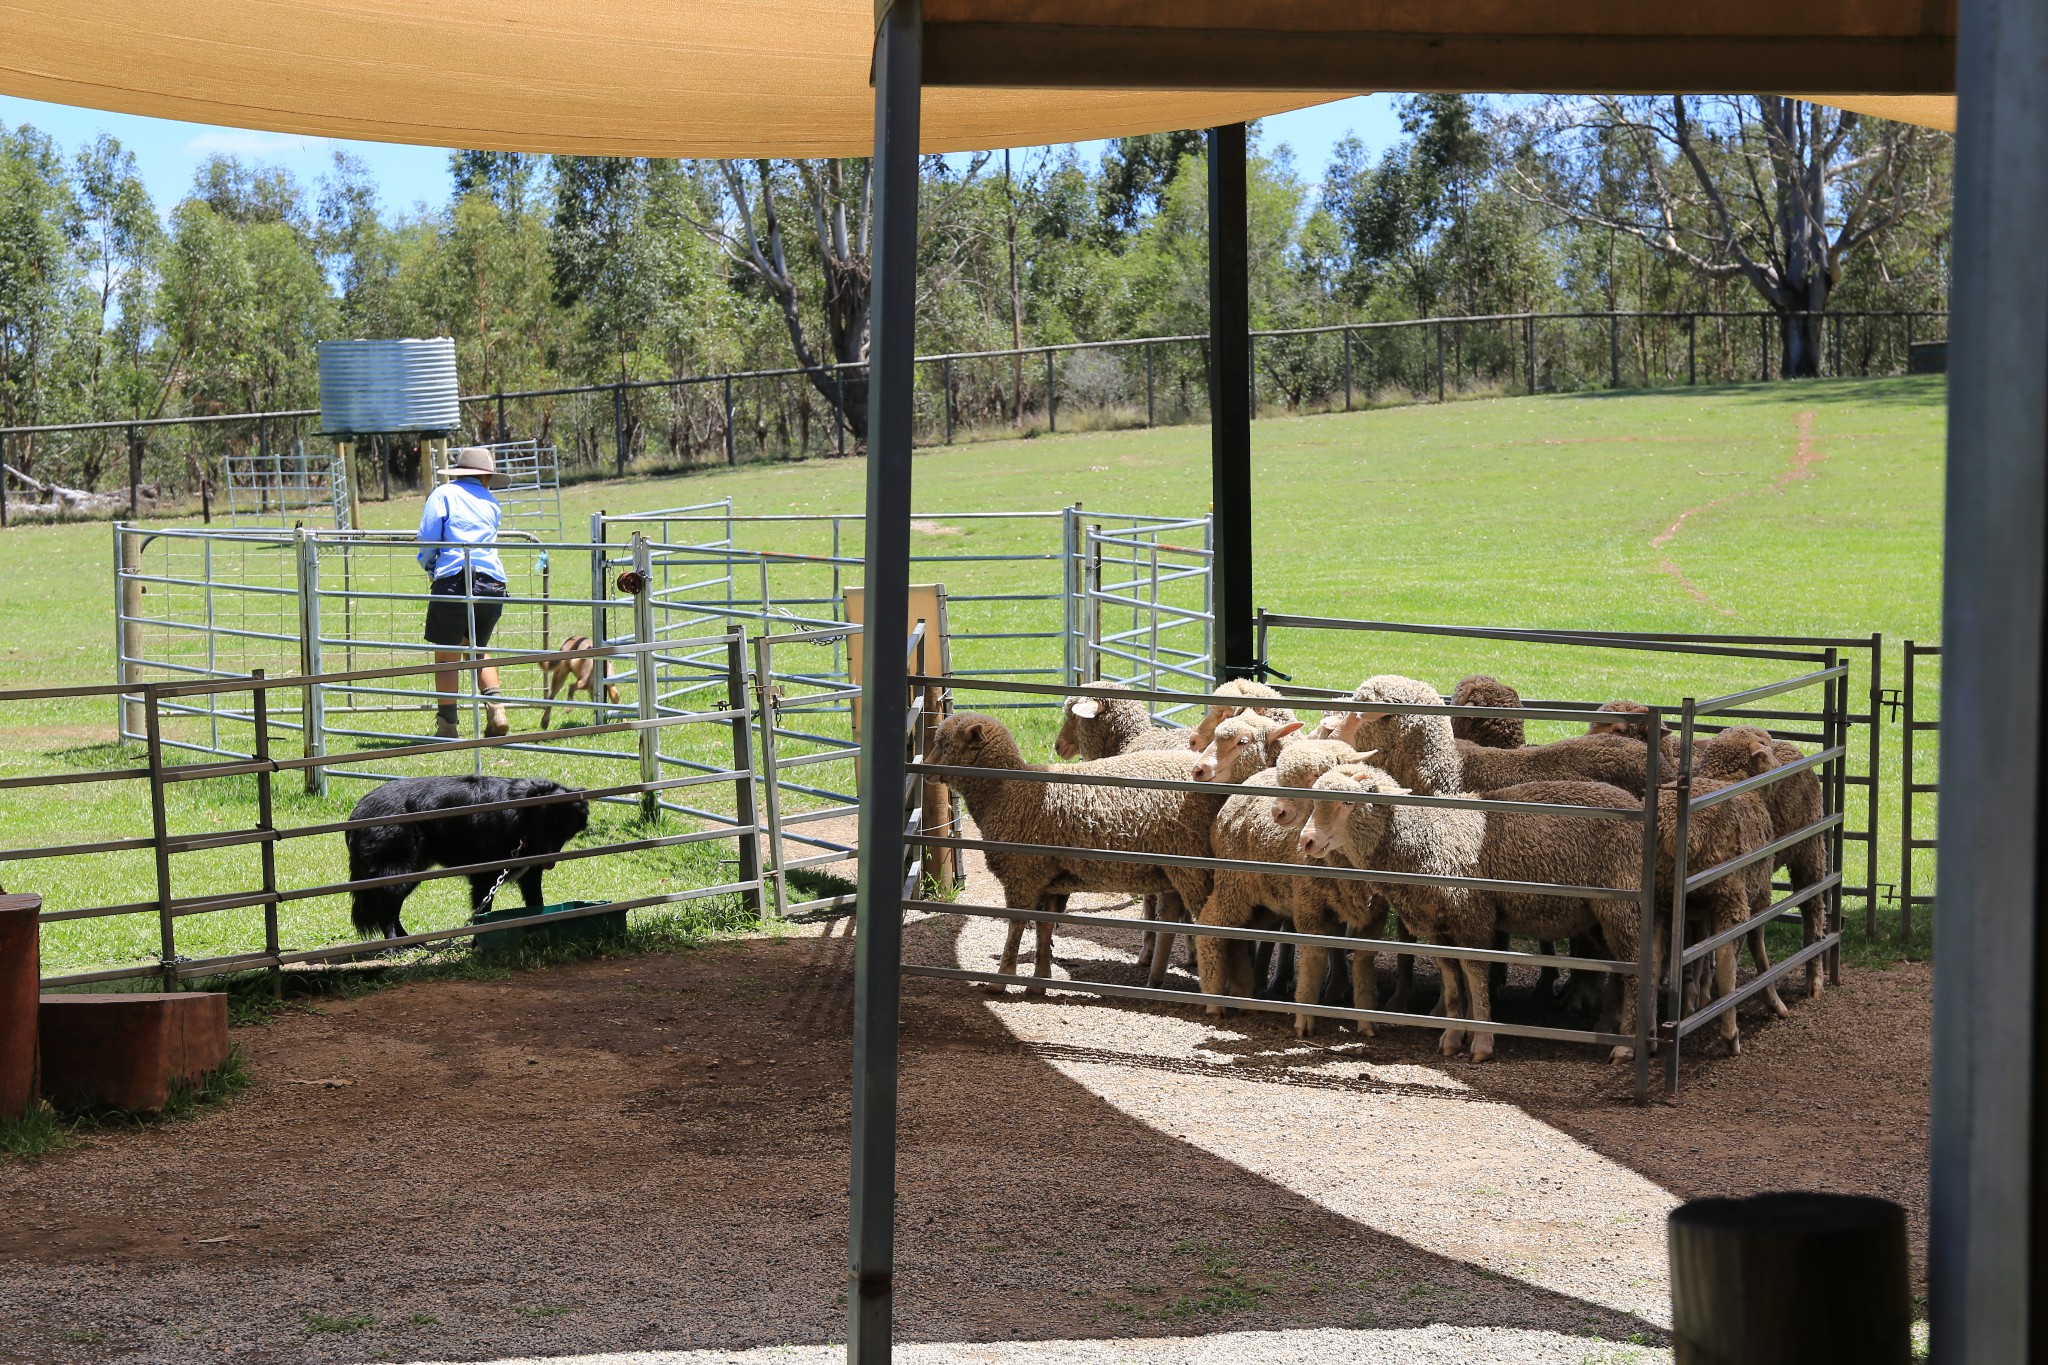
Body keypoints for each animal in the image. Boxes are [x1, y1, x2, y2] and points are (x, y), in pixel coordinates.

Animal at [348, 777, 589, 941]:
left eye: (564, 829)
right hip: (396, 871)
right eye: (542, 827)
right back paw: (395, 945)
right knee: (386, 910)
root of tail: (358, 811)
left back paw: (409, 942)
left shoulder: (529, 875)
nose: (549, 860)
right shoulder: (485, 878)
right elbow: (483, 911)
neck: (520, 817)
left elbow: (536, 904)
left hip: (411, 872)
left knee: (392, 907)